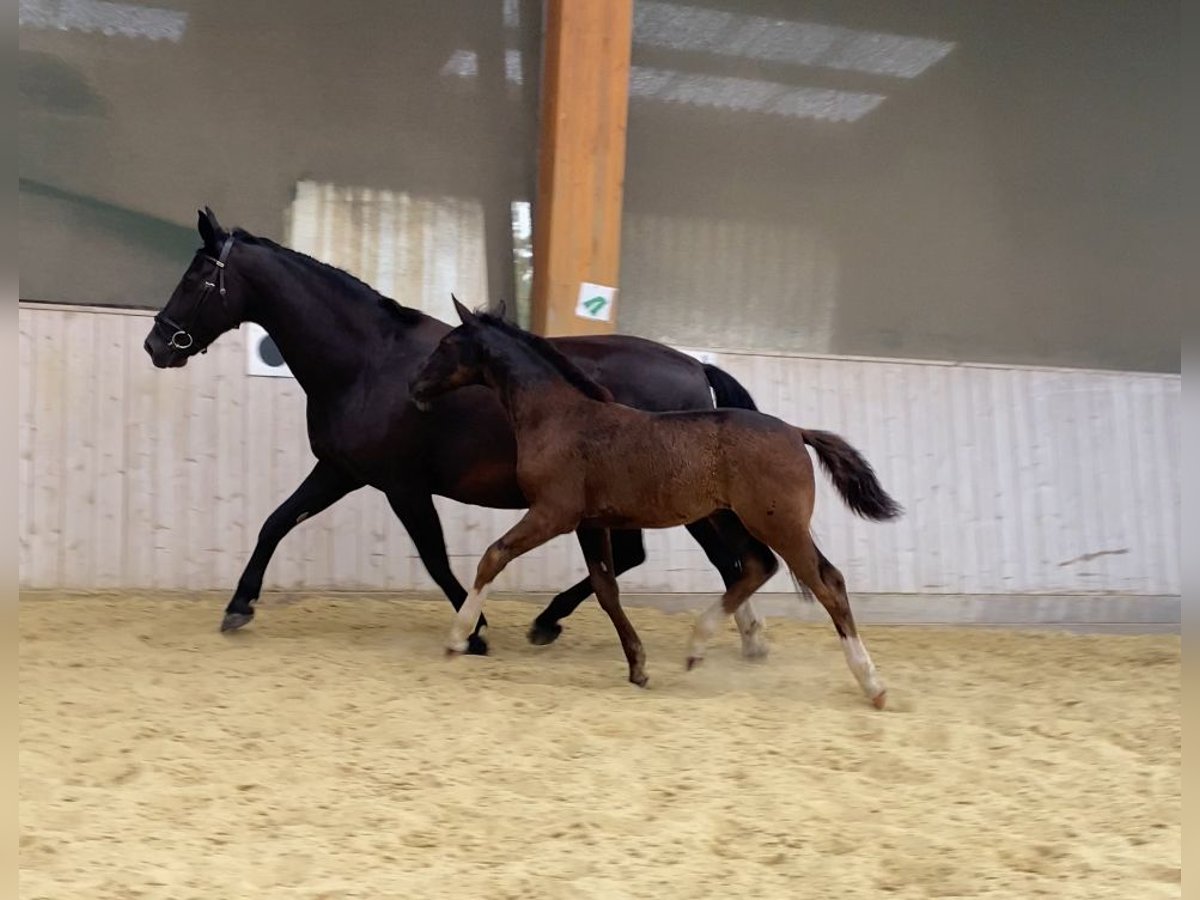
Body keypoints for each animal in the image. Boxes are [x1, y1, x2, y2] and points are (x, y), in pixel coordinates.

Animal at [410, 300, 902, 710]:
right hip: (729, 518)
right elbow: (606, 589)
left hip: (778, 523)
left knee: (826, 582)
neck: (559, 416)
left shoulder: (554, 513)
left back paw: (873, 685)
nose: (415, 387)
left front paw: (459, 638)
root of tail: (797, 431)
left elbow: (493, 556)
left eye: (446, 344)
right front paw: (637, 667)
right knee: (755, 566)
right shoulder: (589, 523)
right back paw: (696, 647)